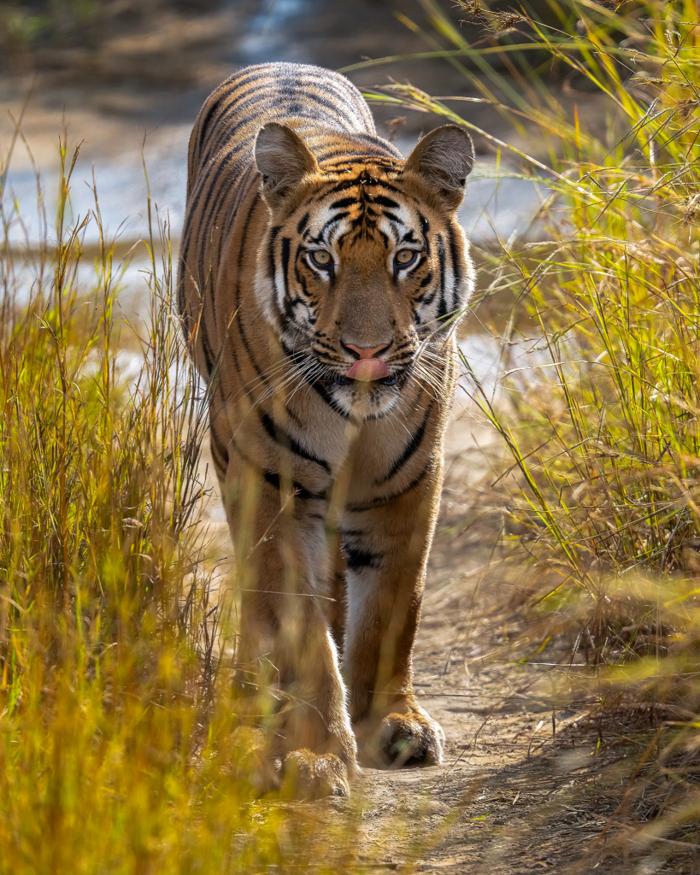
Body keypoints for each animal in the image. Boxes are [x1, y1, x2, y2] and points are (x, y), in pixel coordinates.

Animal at [178, 62, 475, 799]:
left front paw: (390, 723)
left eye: (405, 258)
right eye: (321, 260)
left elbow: (392, 608)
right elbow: (301, 629)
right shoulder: (271, 483)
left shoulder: (409, 482)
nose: (367, 352)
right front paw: (316, 754)